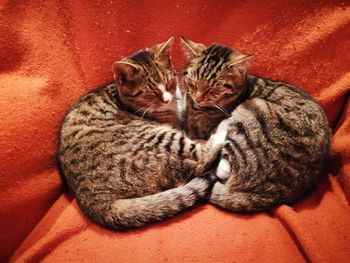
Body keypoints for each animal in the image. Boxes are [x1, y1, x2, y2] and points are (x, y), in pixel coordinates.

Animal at [57, 37, 221, 231]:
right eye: (149, 92)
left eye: (169, 83)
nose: (167, 99)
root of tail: (97, 201)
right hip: (161, 140)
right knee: (199, 159)